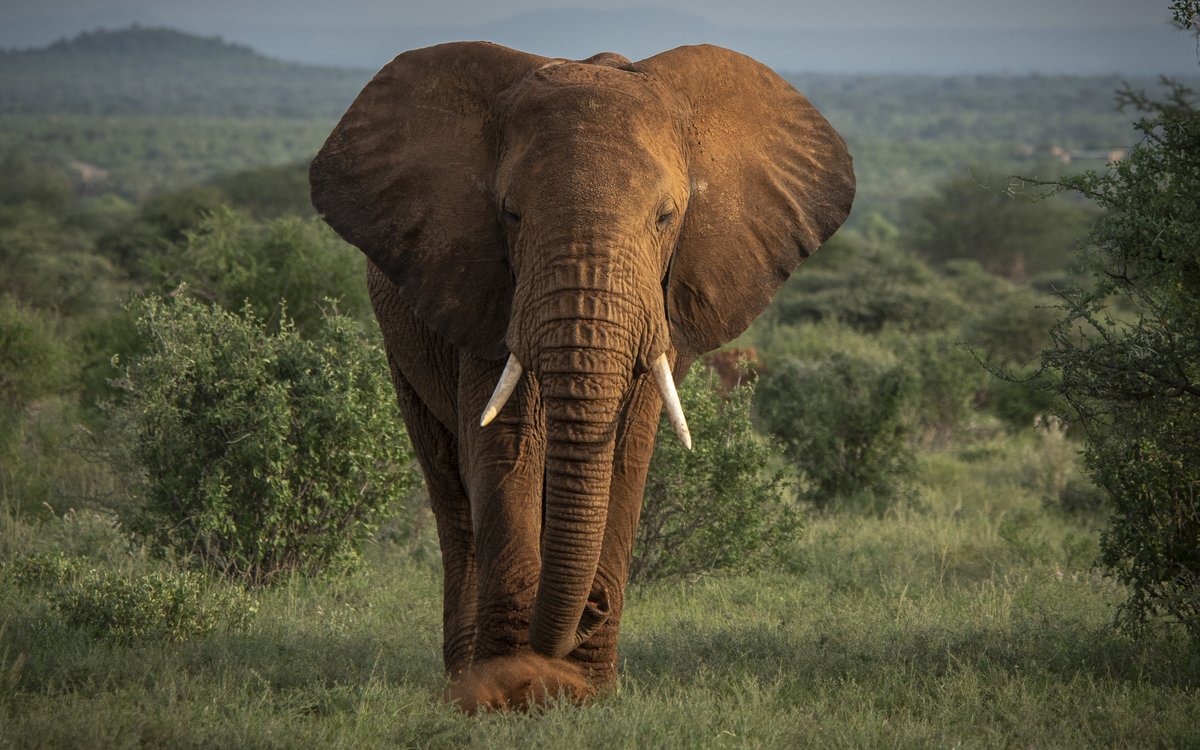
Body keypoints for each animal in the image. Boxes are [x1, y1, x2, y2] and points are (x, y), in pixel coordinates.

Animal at [310, 41, 854, 711]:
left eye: (666, 217)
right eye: (510, 214)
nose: (587, 616)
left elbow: (628, 453)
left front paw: (585, 689)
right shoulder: (486, 289)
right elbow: (505, 450)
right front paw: (507, 689)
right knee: (449, 489)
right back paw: (463, 675)